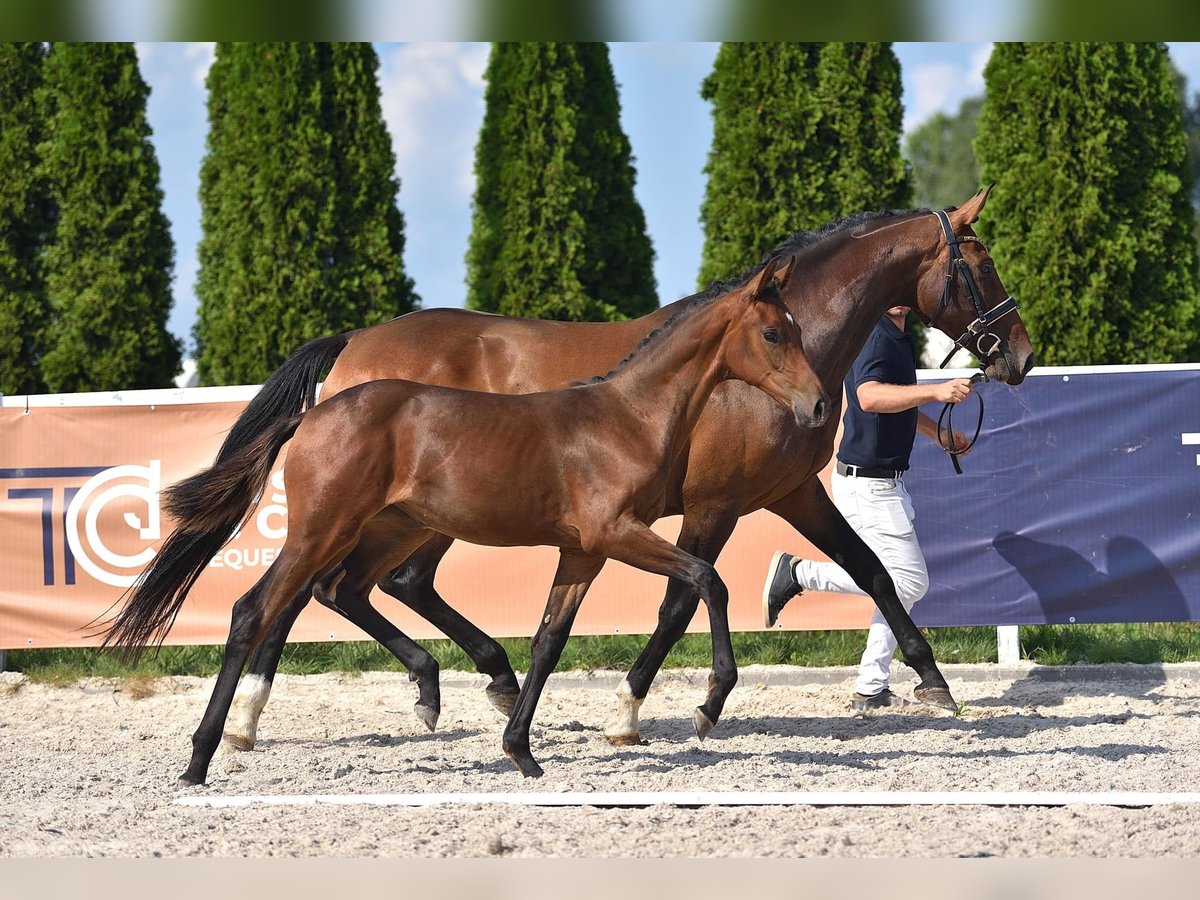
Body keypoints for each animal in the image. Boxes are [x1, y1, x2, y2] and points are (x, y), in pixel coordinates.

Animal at [108, 255, 830, 782]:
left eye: (800, 331)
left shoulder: (583, 550)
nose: (820, 406)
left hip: (391, 528)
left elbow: (548, 641)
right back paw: (202, 757)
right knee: (257, 610)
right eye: (773, 333)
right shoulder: (618, 532)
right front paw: (710, 702)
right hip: (324, 528)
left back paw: (427, 690)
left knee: (346, 590)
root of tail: (314, 413)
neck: (627, 418)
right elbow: (708, 580)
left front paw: (522, 751)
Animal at [220, 187, 1036, 748]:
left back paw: (472, 681)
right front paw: (648, 707)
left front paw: (935, 684)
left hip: (421, 516)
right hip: (377, 511)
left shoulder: (793, 492)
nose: (1021, 356)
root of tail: (355, 343)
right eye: (983, 262)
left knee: (374, 584)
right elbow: (681, 602)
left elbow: (872, 572)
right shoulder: (712, 505)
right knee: (310, 589)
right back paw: (249, 717)